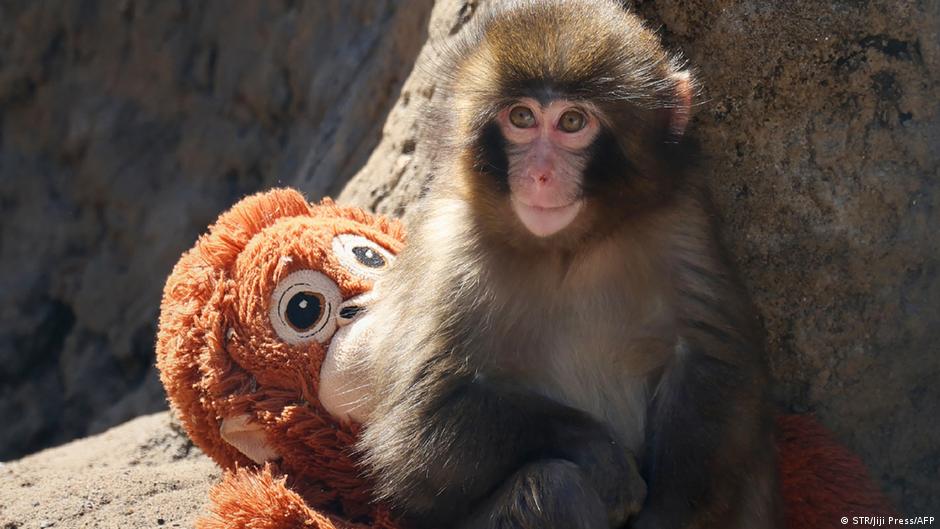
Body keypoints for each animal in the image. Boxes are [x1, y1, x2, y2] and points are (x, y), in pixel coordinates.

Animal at [354, 1, 783, 528]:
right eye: (521, 117)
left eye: (573, 122)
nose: (540, 174)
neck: (567, 248)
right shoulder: (450, 250)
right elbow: (417, 432)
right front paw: (599, 451)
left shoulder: (682, 220)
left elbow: (713, 365)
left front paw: (665, 512)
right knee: (552, 486)